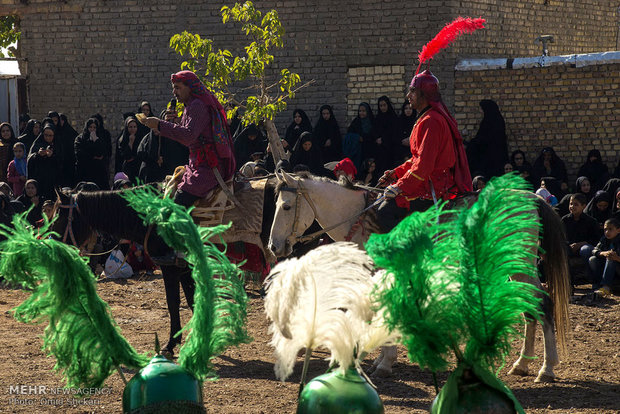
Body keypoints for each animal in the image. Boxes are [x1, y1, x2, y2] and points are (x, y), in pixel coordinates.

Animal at [52, 178, 276, 356]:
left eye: (59, 218)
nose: (52, 244)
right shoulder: (185, 267)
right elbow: (191, 301)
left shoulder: (170, 267)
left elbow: (173, 302)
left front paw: (171, 344)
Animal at [268, 170, 568, 384]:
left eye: (286, 207)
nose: (274, 246)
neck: (360, 219)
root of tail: (531, 199)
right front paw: (378, 359)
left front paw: (383, 362)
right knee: (529, 309)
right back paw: (522, 364)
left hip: (520, 266)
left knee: (543, 304)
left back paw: (547, 368)